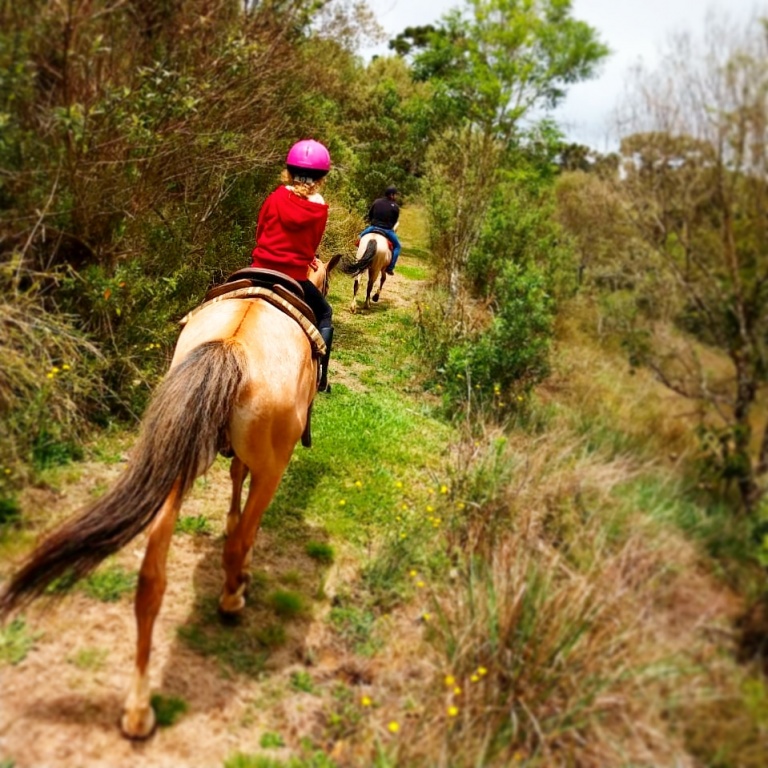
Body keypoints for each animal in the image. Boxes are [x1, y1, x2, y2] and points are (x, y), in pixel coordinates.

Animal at [0, 256, 340, 736]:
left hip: (176, 456)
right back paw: (232, 597)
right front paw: (240, 560)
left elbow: (234, 474)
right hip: (269, 466)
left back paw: (138, 709)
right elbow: (244, 515)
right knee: (237, 545)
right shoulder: (267, 465)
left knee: (150, 579)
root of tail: (230, 346)